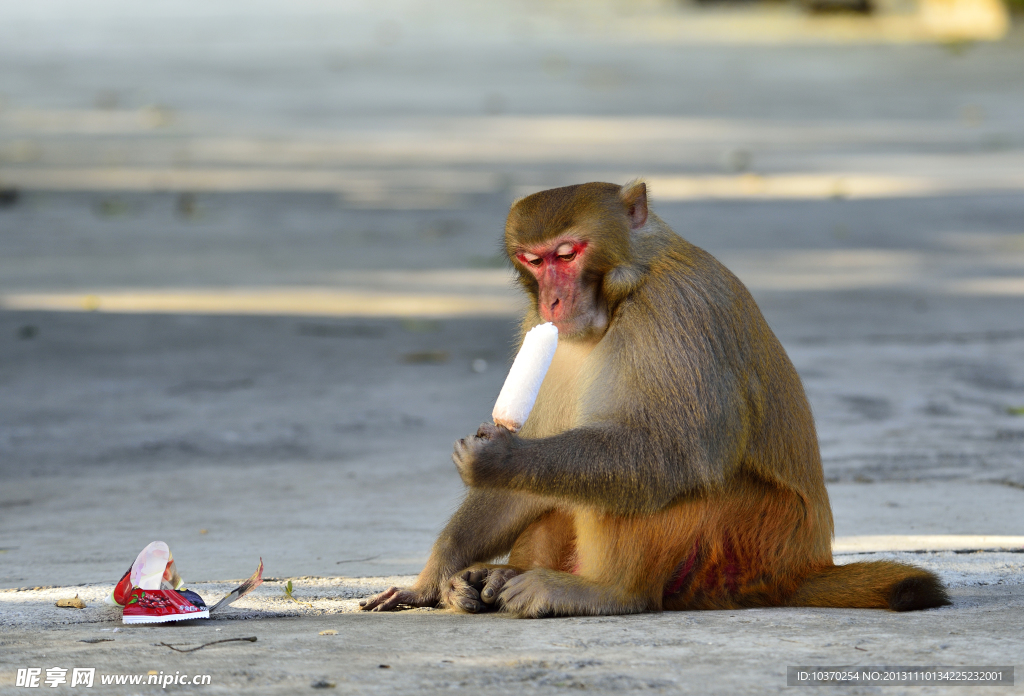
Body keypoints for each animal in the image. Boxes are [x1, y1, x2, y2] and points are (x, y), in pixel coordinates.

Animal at [362, 181, 950, 618]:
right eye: (533, 261)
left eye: (567, 254)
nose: (553, 301)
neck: (626, 291)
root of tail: (801, 569)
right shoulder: (538, 330)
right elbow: (532, 473)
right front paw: (429, 579)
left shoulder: (678, 312)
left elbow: (673, 452)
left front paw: (499, 458)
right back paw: (498, 576)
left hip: (748, 544)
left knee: (658, 481)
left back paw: (605, 592)